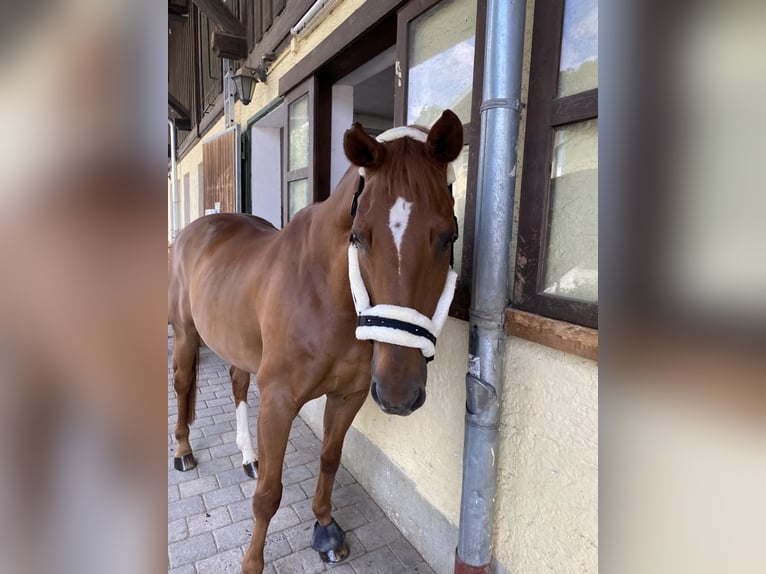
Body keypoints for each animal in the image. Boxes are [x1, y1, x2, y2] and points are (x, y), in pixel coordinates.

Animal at [169, 110, 464, 572]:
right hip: (185, 333)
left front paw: (324, 528)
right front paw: (252, 561)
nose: (399, 392)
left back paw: (247, 454)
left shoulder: (349, 395)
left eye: (448, 236)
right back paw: (183, 450)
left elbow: (330, 458)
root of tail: (195, 229)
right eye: (358, 236)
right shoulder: (278, 402)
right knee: (183, 385)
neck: (325, 294)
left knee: (237, 384)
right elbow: (269, 494)